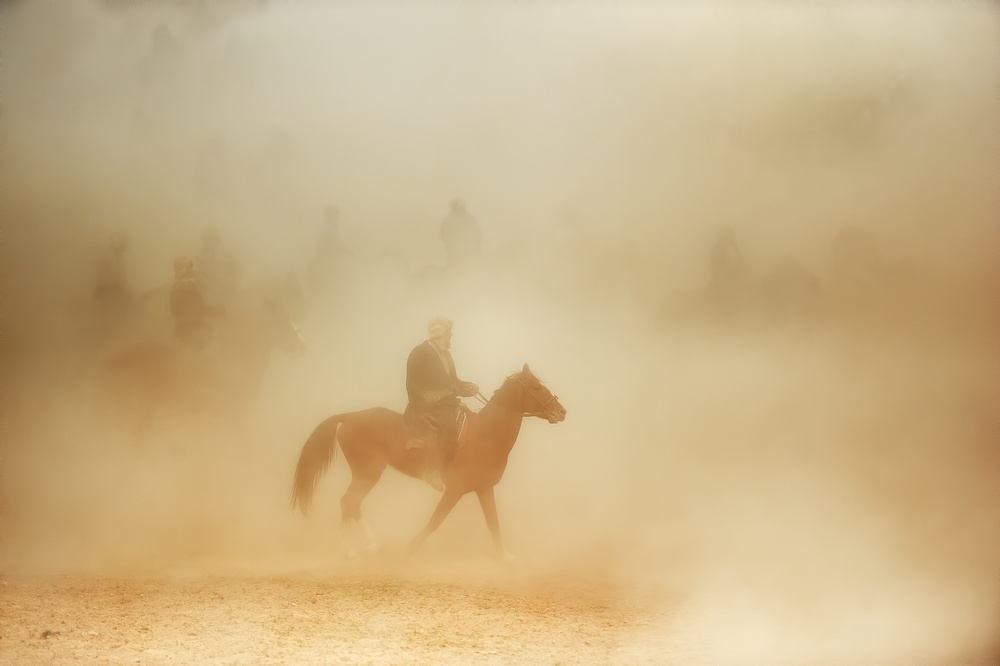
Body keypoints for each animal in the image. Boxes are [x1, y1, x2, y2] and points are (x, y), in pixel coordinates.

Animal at [292, 364, 568, 560]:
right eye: (535, 387)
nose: (561, 411)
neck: (485, 435)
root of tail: (349, 416)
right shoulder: (455, 490)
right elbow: (436, 520)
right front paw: (411, 547)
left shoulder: (484, 488)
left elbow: (493, 522)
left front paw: (505, 556)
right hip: (368, 473)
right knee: (349, 502)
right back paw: (353, 549)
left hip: (367, 474)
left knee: (352, 503)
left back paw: (370, 544)